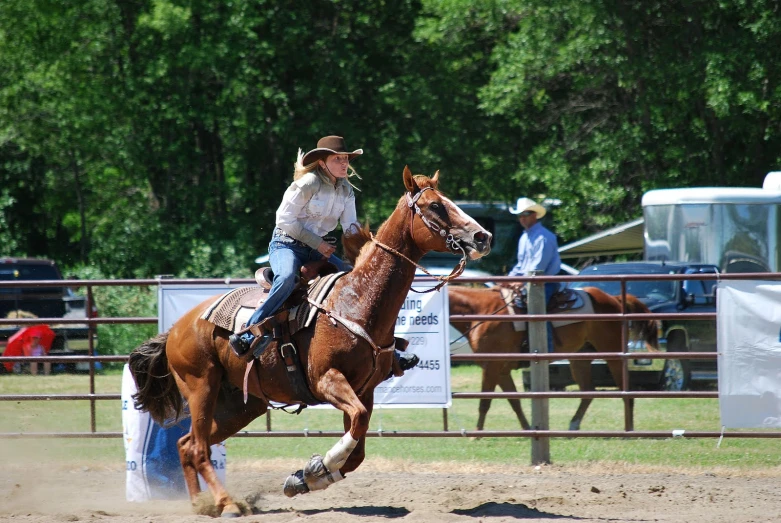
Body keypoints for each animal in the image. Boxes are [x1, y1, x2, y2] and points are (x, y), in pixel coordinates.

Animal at [130, 167, 490, 516]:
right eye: (435, 205)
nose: (482, 237)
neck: (355, 301)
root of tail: (178, 328)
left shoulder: (364, 390)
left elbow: (357, 444)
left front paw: (305, 477)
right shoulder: (326, 380)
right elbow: (357, 427)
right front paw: (319, 467)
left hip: (241, 404)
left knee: (186, 444)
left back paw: (201, 504)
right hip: (201, 387)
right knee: (199, 448)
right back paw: (227, 504)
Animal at [444, 288, 660, 432]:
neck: (481, 312)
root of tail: (614, 299)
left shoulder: (491, 366)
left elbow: (485, 402)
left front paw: (476, 434)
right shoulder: (502, 370)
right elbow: (514, 401)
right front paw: (527, 429)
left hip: (612, 354)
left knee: (626, 391)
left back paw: (628, 431)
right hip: (579, 358)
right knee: (588, 391)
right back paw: (573, 425)